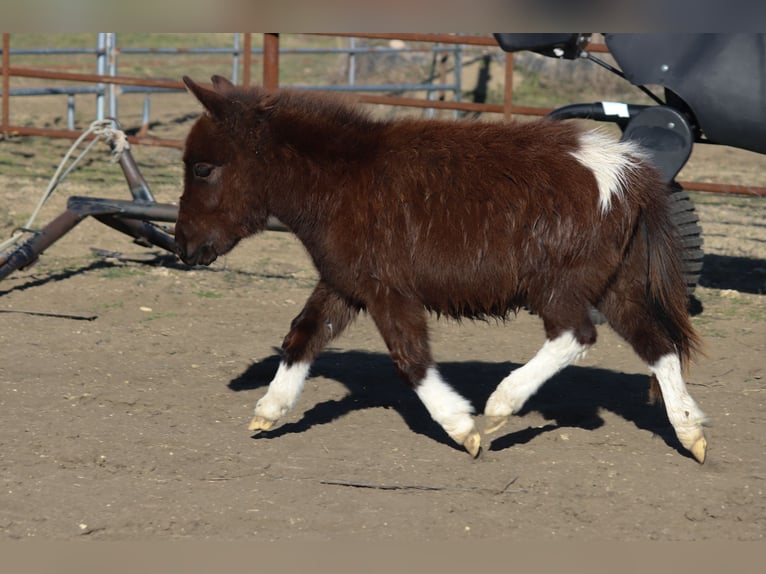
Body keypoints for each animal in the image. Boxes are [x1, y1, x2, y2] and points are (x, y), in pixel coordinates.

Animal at [177, 75, 712, 464]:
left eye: (203, 169)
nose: (183, 245)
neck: (341, 182)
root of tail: (629, 173)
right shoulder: (344, 284)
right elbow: (303, 335)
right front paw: (269, 410)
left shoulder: (387, 290)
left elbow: (410, 359)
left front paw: (462, 427)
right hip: (615, 287)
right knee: (658, 346)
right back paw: (690, 432)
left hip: (559, 286)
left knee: (575, 336)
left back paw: (501, 406)